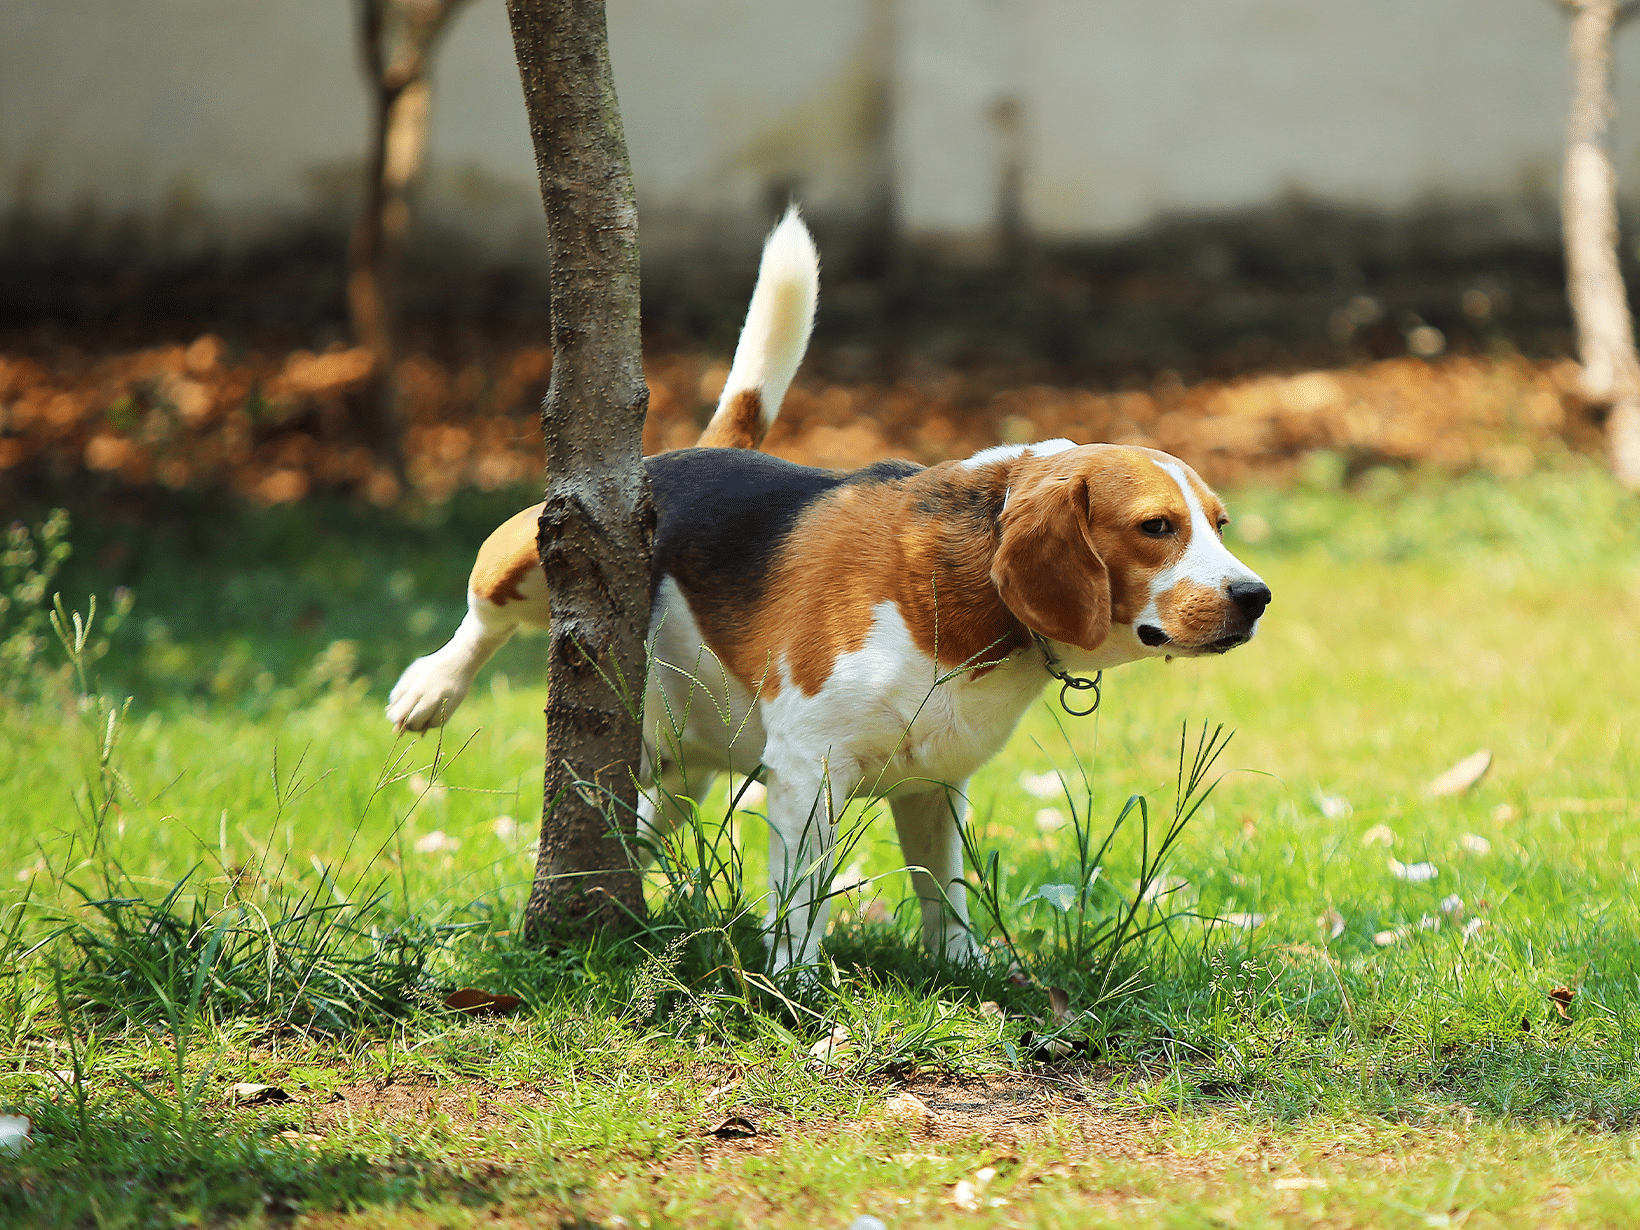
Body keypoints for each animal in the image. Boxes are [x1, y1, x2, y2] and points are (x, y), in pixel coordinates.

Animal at [390, 209, 1272, 970]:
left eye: (1220, 523)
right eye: (1156, 527)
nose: (1255, 596)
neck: (966, 595)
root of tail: (693, 452)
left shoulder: (933, 785)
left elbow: (943, 893)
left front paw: (966, 970)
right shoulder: (807, 774)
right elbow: (801, 905)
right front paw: (797, 987)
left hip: (681, 769)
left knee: (648, 820)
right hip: (532, 550)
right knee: (481, 614)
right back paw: (430, 687)